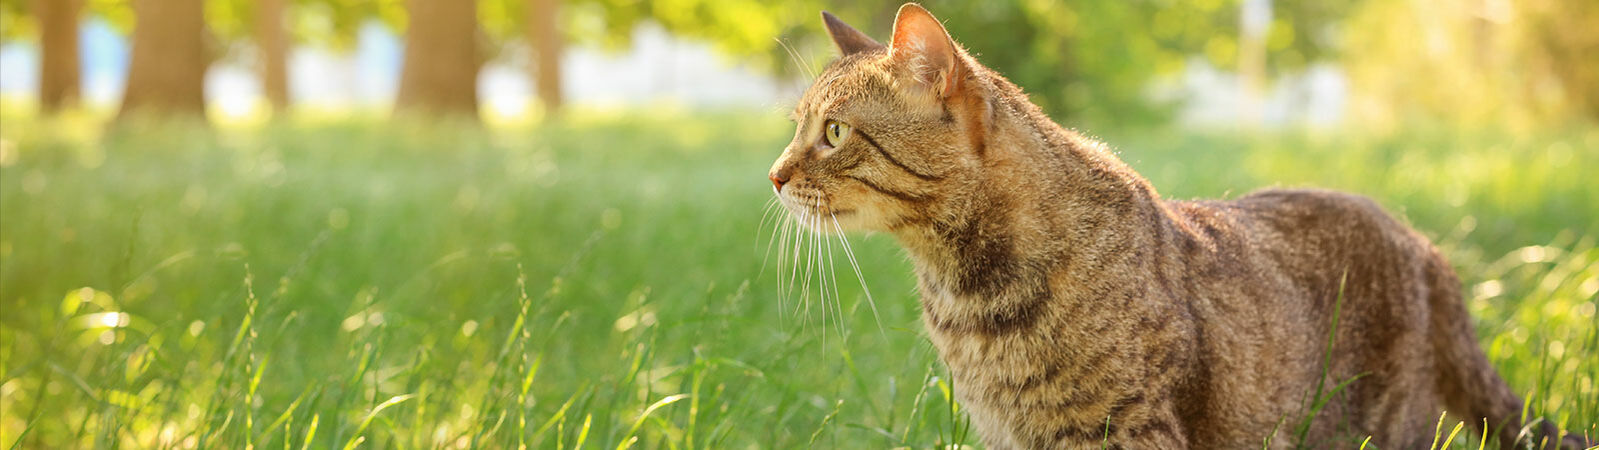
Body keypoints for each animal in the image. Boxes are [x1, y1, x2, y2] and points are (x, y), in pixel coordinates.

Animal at [770, 4, 1586, 448]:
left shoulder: (1125, 428)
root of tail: (1423, 244)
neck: (967, 292)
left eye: (834, 133)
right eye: (798, 127)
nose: (774, 175)